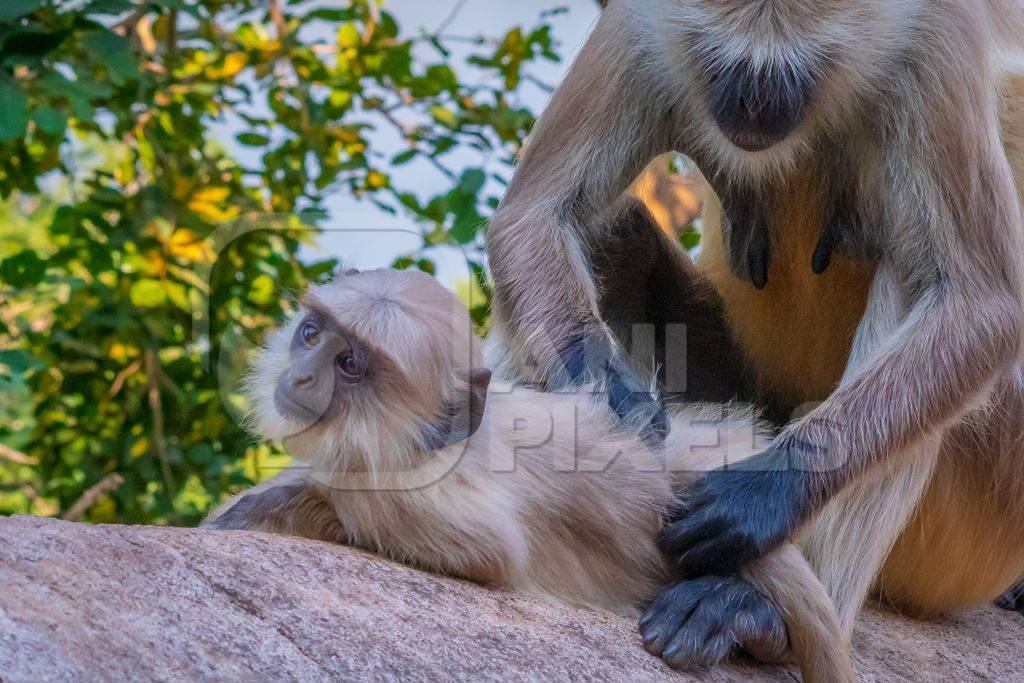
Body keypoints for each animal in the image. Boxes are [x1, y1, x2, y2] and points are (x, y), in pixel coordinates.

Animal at [203, 270, 851, 679]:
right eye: (311, 335)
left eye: (350, 364)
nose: (302, 376)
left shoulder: (403, 495)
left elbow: (488, 553)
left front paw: (271, 509)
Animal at [483, 0, 1024, 655]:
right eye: (718, 61)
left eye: (797, 72)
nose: (752, 105)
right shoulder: (638, 21)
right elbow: (533, 214)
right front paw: (604, 400)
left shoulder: (943, 39)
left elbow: (983, 305)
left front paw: (764, 492)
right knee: (612, 233)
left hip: (985, 508)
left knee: (915, 276)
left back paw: (754, 604)